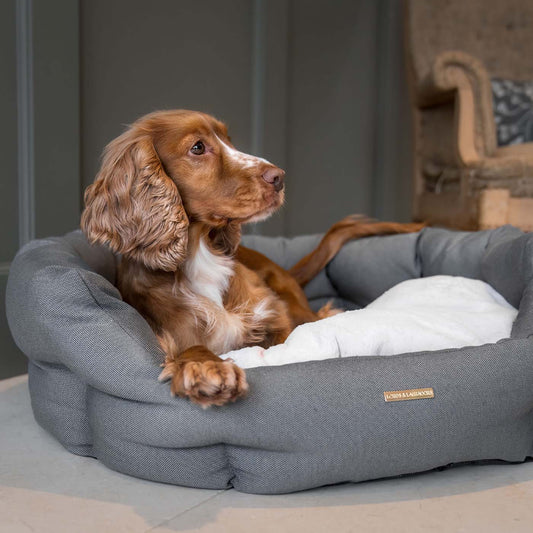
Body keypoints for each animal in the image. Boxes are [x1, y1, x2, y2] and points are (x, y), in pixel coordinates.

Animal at [81, 110, 422, 407]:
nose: (279, 177)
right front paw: (206, 368)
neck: (198, 253)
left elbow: (290, 338)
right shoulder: (173, 333)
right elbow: (192, 348)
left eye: (229, 140)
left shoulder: (275, 315)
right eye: (198, 147)